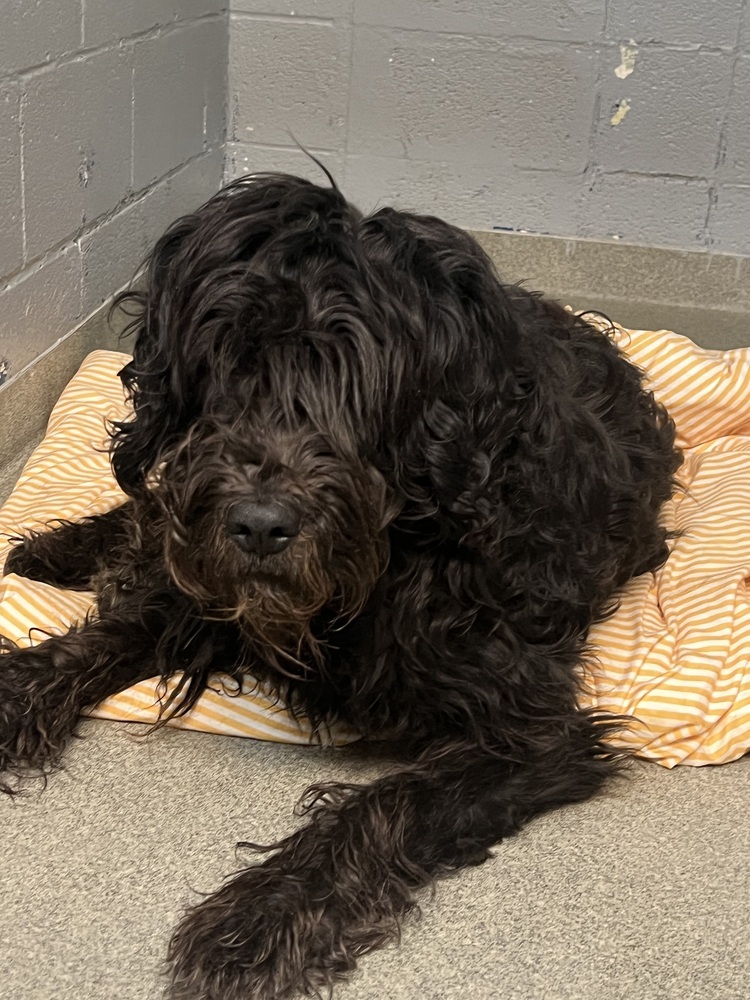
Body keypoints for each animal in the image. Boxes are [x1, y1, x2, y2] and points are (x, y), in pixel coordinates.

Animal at [0, 174, 680, 1000]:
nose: (259, 527)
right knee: (147, 512)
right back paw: (59, 548)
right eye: (226, 364)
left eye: (354, 381)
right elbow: (105, 634)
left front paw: (263, 916)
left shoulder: (531, 730)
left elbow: (391, 803)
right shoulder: (204, 590)